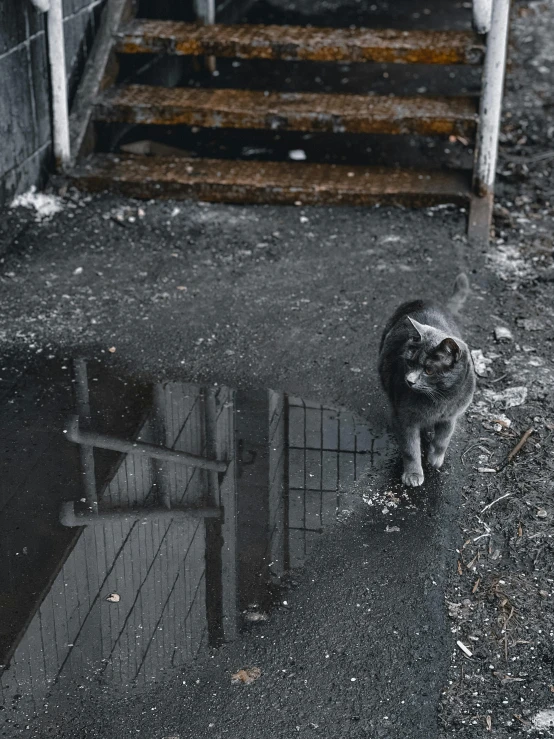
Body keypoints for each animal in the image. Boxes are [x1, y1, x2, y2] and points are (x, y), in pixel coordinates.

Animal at [376, 274, 474, 488]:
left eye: (429, 370)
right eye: (410, 362)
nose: (409, 380)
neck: (442, 397)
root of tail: (430, 301)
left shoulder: (451, 417)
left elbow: (443, 439)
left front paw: (435, 459)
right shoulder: (404, 418)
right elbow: (410, 448)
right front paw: (413, 474)